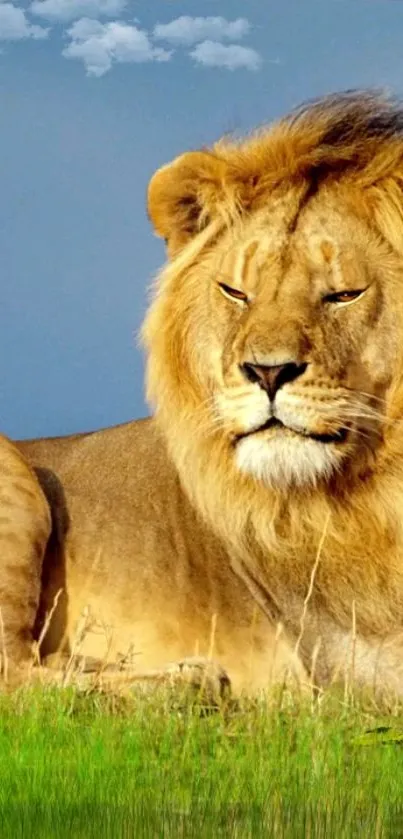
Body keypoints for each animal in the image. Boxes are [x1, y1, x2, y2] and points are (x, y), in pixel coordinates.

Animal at [3, 88, 403, 700]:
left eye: (344, 295)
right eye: (235, 292)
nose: (267, 372)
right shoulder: (350, 662)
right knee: (17, 678)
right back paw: (189, 683)